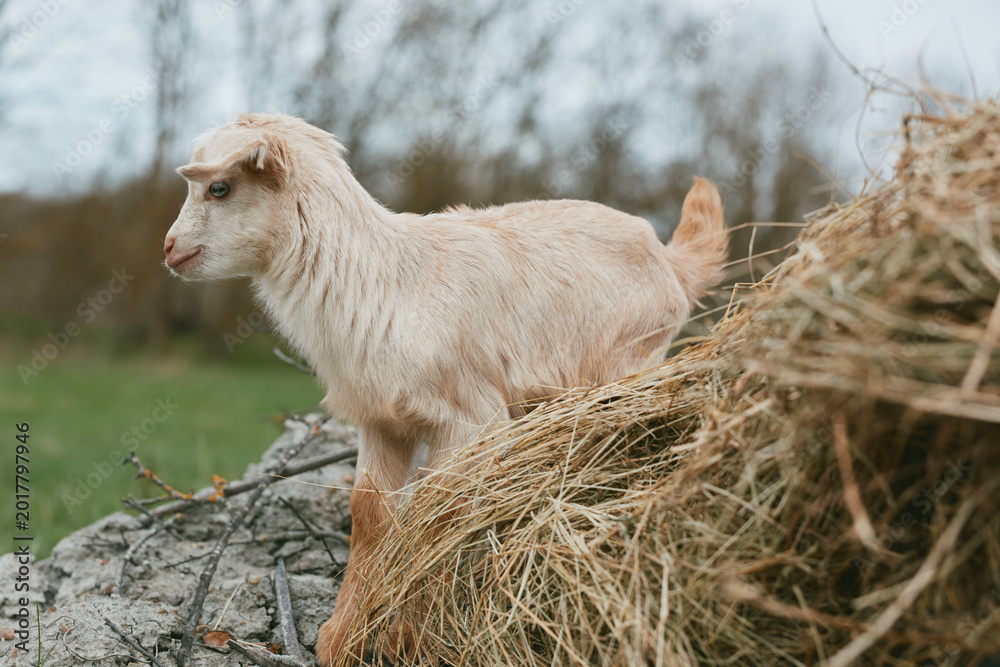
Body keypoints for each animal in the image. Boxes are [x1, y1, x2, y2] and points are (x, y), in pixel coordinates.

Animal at [163, 113, 727, 666]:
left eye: (219, 187)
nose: (169, 249)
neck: (384, 281)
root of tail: (671, 261)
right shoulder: (382, 421)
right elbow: (371, 515)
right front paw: (341, 641)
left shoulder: (468, 420)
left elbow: (438, 517)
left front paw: (409, 641)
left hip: (629, 362)